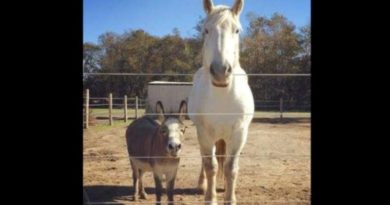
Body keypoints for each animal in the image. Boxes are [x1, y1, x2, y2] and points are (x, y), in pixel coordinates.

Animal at [187, 0, 254, 205]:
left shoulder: (239, 134)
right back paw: (202, 186)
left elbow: (231, 168)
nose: (220, 71)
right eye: (206, 30)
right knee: (207, 160)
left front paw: (229, 198)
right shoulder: (204, 133)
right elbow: (211, 166)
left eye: (237, 30)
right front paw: (210, 198)